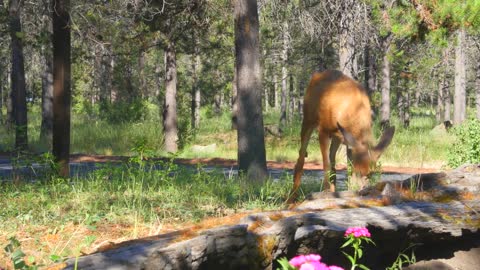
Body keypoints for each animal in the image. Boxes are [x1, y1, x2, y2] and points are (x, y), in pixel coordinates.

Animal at [288, 70, 394, 201]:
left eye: (370, 173)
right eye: (358, 172)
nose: (364, 190)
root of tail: (317, 74)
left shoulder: (348, 141)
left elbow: (345, 168)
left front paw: (347, 190)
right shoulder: (323, 130)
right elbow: (326, 164)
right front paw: (325, 192)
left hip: (337, 138)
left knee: (332, 161)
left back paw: (334, 192)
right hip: (308, 121)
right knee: (301, 157)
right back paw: (292, 197)